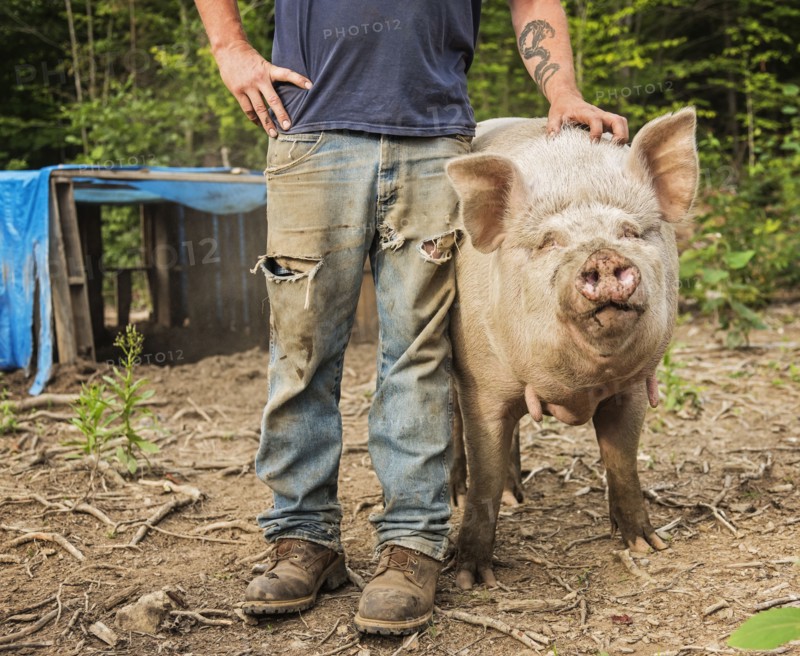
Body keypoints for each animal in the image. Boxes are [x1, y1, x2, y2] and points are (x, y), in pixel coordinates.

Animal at [445, 108, 698, 590]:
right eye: (549, 241)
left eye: (629, 232)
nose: (602, 256)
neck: (583, 388)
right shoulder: (481, 382)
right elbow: (484, 471)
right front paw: (471, 578)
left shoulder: (631, 388)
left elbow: (622, 460)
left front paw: (648, 546)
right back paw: (458, 496)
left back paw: (517, 496)